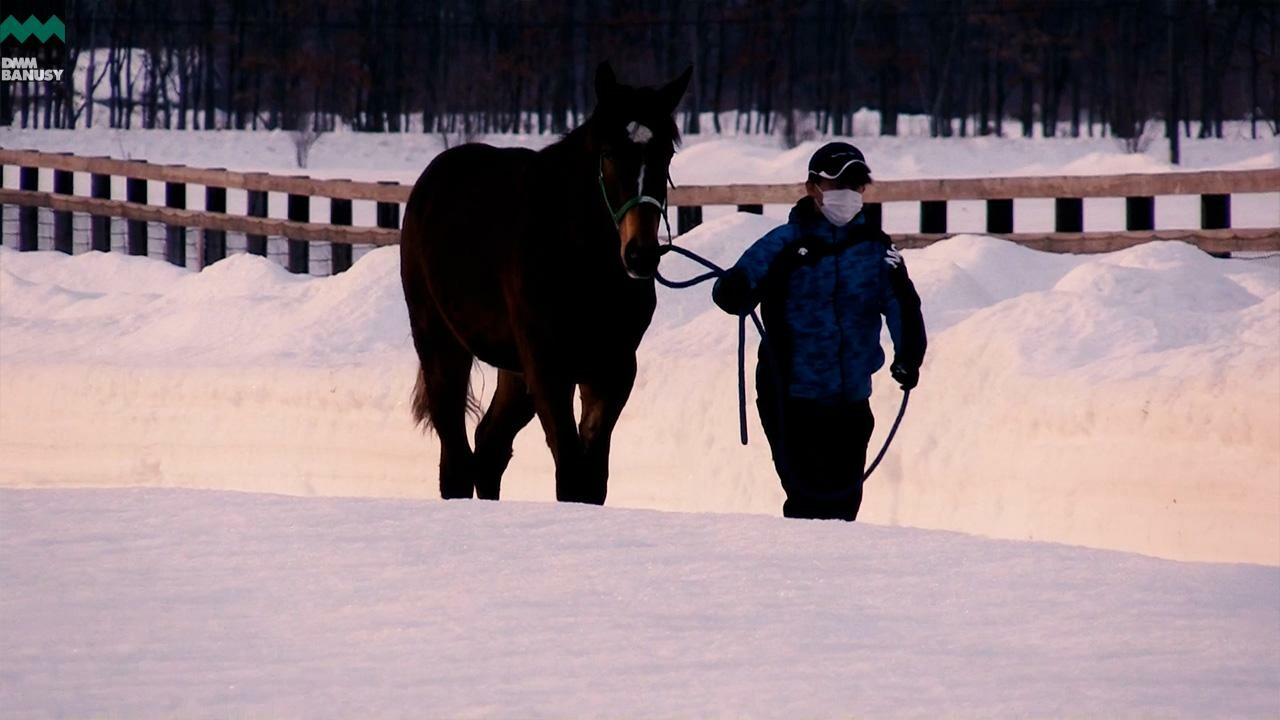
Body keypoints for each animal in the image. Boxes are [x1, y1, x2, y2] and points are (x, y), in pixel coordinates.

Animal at [399, 63, 691, 504]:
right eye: (608, 154)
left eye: (666, 154)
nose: (640, 254)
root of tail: (429, 184)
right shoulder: (550, 368)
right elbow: (569, 472)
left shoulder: (612, 367)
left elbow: (593, 479)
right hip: (442, 346)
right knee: (457, 457)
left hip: (515, 372)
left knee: (489, 445)